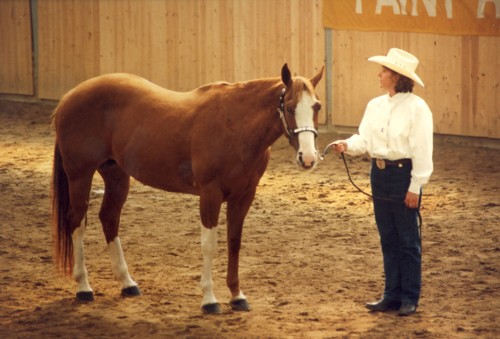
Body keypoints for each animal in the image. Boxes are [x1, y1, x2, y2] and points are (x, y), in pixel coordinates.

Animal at [51, 63, 324, 314]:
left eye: (317, 107)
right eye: (289, 107)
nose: (308, 158)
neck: (234, 126)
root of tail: (68, 97)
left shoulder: (243, 196)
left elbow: (234, 241)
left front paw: (237, 296)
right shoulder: (210, 194)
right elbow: (209, 244)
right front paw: (209, 300)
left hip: (116, 175)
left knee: (108, 218)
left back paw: (127, 284)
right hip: (80, 175)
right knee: (77, 221)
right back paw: (84, 287)